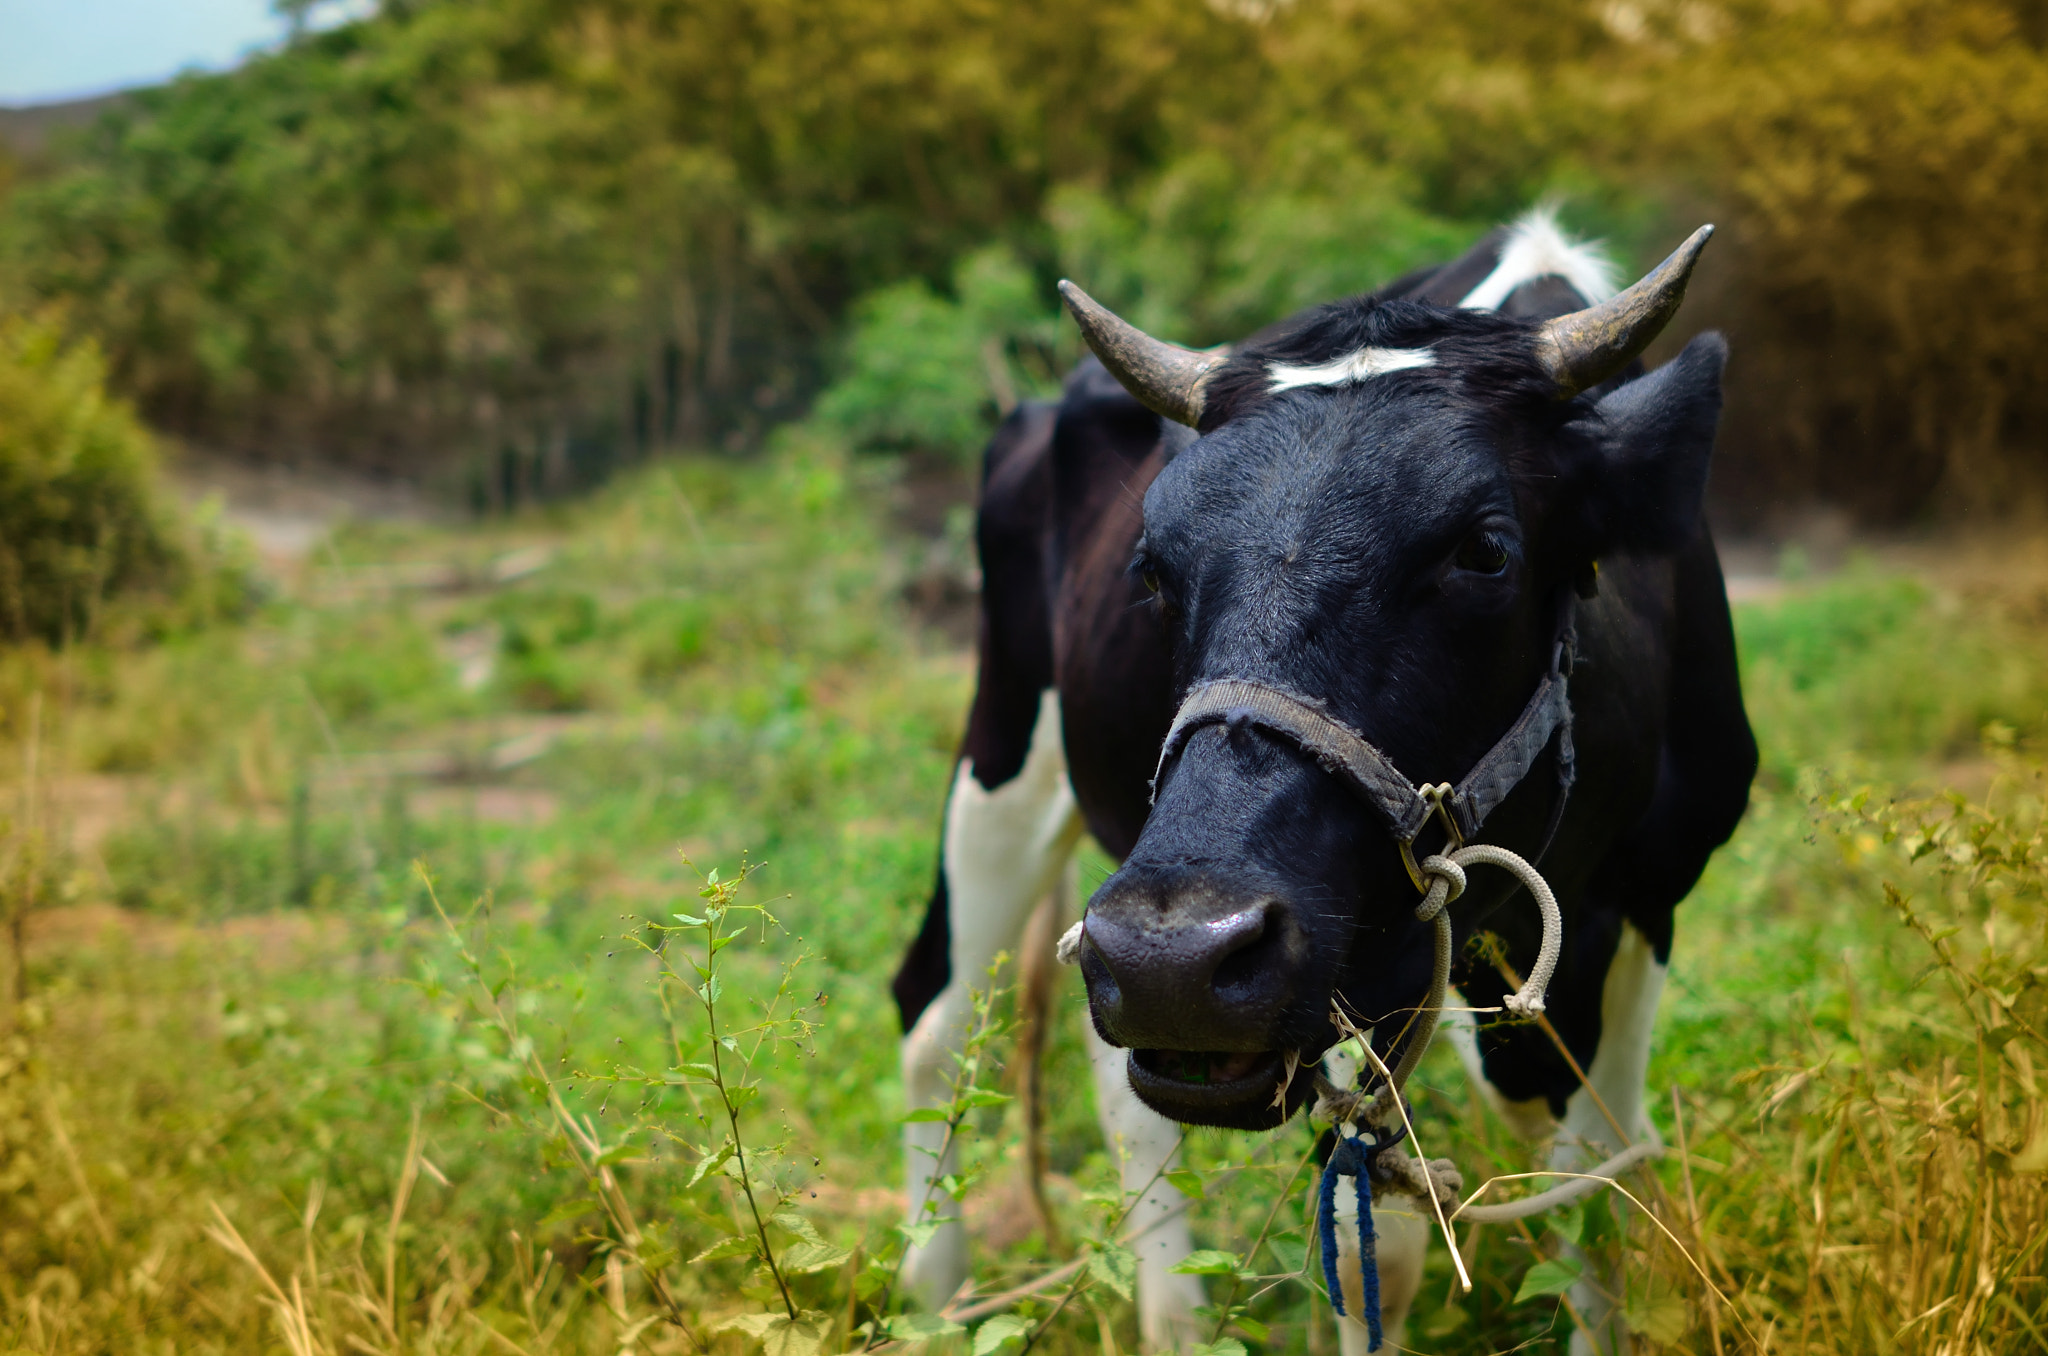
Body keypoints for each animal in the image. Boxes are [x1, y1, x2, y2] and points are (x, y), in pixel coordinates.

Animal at [897, 206, 1761, 1351]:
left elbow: (1603, 1183)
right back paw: (934, 1300)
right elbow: (1373, 1242)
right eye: (1151, 568)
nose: (1174, 957)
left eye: (1486, 550)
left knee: (1115, 1082)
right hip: (1005, 751)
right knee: (936, 1018)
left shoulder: (1648, 892)